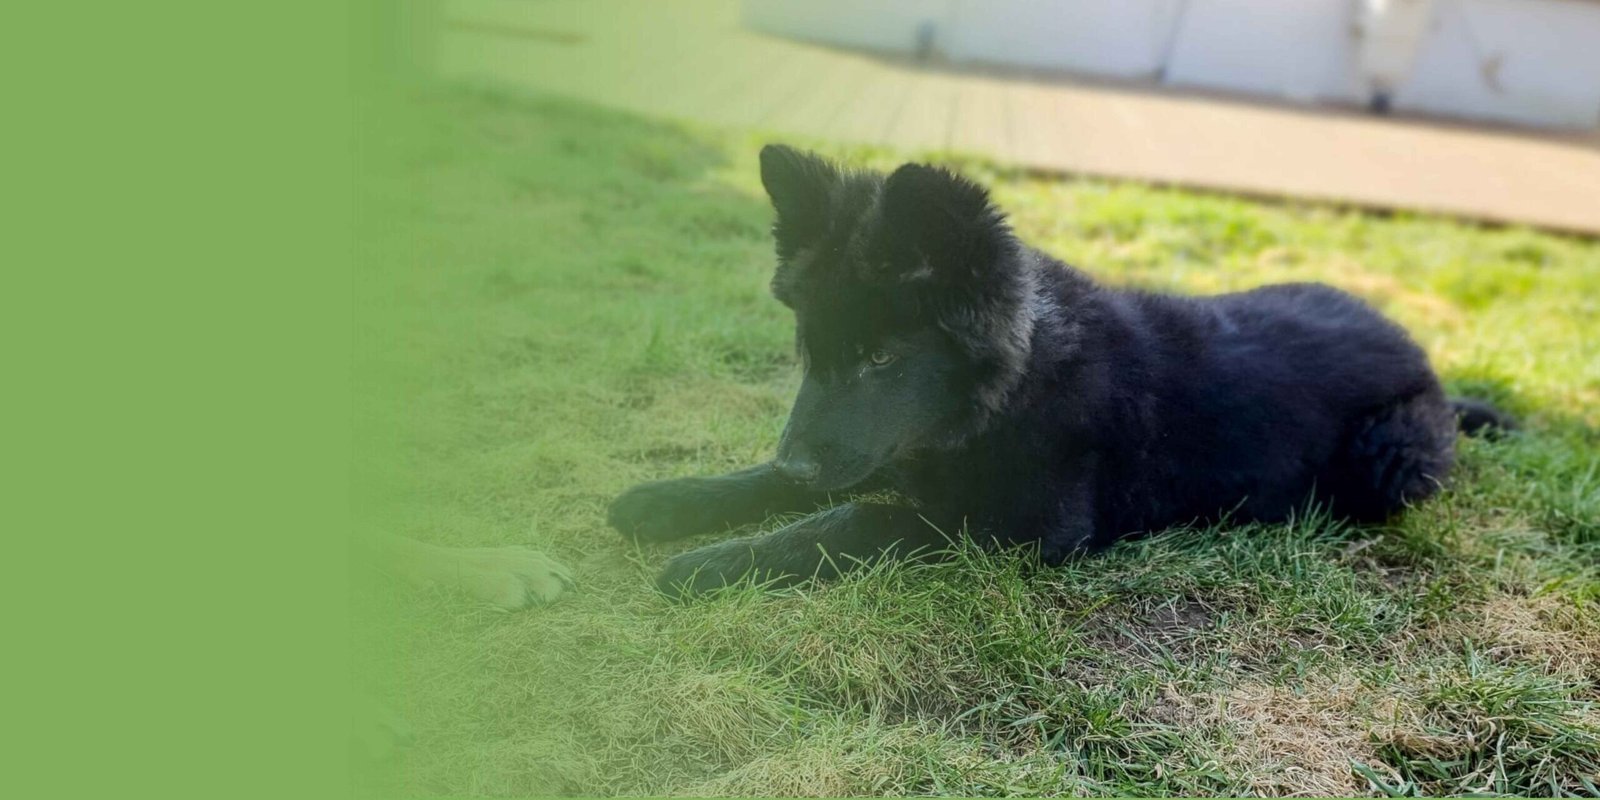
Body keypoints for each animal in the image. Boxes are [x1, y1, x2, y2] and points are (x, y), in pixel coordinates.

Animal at [609, 145, 1512, 598]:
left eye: (883, 358)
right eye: (811, 351)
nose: (801, 462)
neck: (1018, 385)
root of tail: (1427, 364)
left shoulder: (1017, 529)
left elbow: (858, 520)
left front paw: (716, 564)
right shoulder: (878, 449)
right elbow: (779, 480)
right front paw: (672, 501)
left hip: (1391, 461)